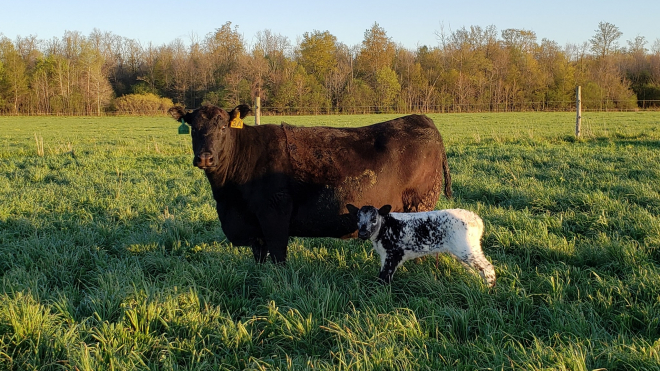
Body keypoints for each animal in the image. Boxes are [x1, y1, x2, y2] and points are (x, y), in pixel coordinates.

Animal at [168, 105, 452, 264]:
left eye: (223, 128)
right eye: (194, 128)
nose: (205, 157)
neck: (228, 199)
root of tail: (422, 120)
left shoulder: (274, 214)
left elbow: (278, 258)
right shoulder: (254, 228)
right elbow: (259, 260)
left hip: (421, 203)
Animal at [346, 203, 496, 288]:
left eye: (373, 219)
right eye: (358, 218)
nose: (362, 233)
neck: (385, 227)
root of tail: (477, 220)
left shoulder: (394, 253)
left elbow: (384, 276)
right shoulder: (385, 255)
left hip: (466, 248)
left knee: (486, 267)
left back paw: (488, 288)